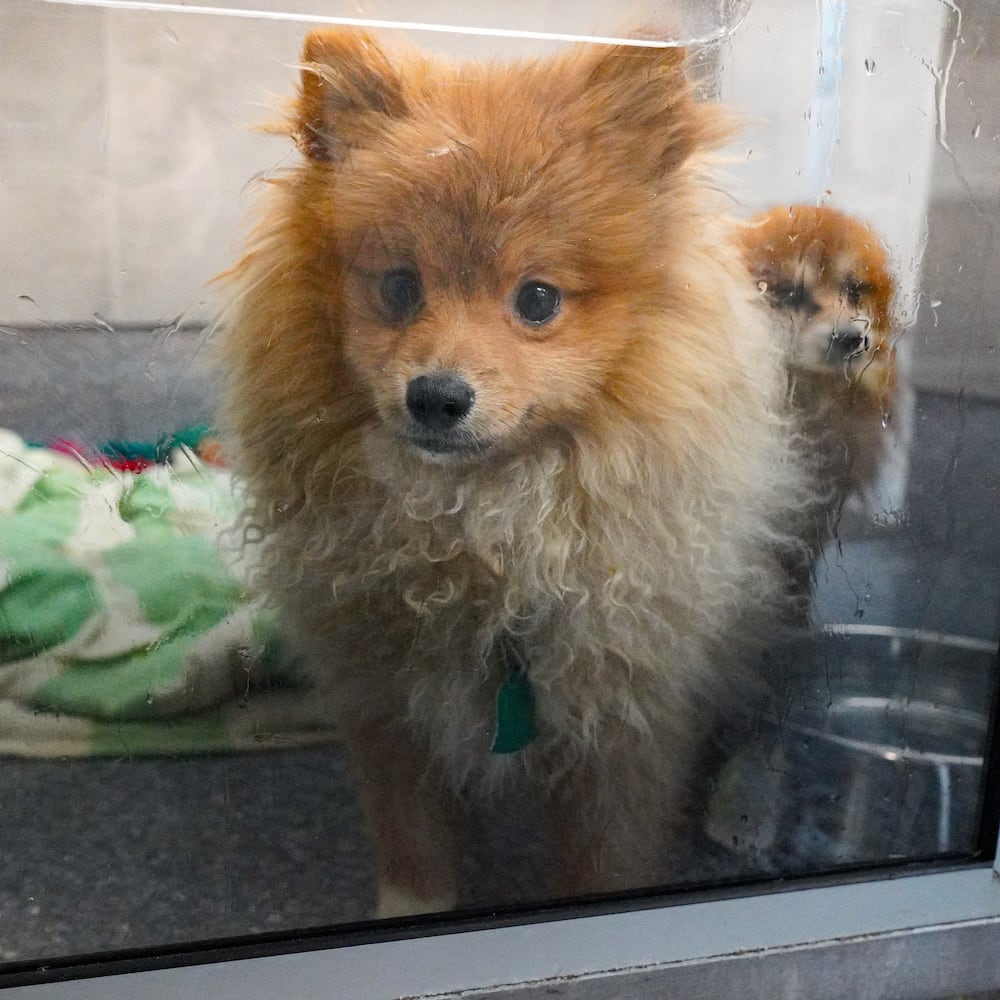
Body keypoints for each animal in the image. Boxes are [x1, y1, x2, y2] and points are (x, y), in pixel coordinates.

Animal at [221, 27, 812, 916]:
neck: (485, 533)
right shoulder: (389, 701)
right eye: (399, 287)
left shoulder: (625, 718)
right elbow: (413, 839)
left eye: (537, 299)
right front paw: (412, 914)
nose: (436, 395)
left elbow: (606, 853)